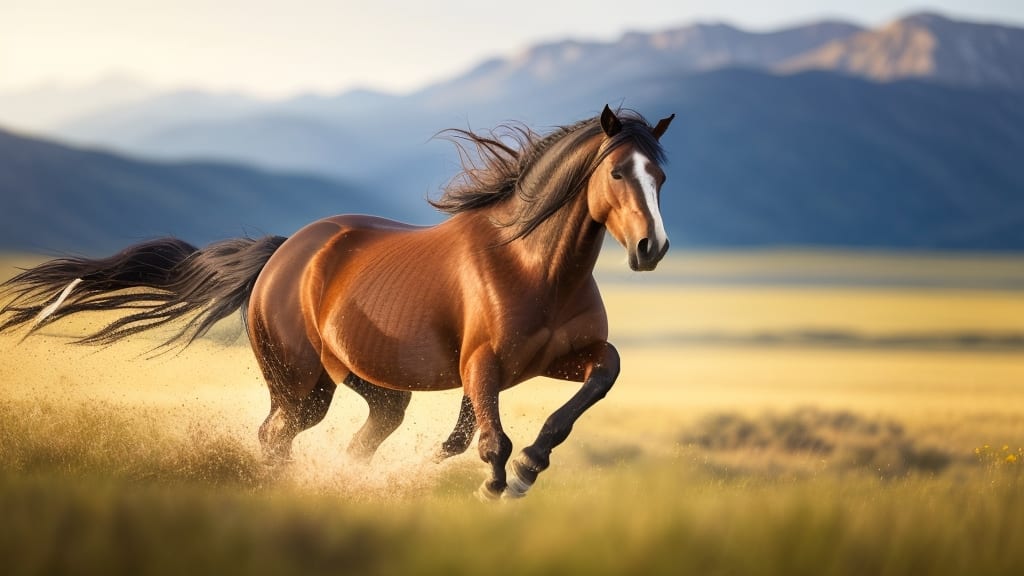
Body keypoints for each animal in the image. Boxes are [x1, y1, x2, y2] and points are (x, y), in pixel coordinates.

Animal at [0, 105, 674, 499]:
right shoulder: (482, 364)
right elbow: (490, 441)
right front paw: (496, 482)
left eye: (661, 177)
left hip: (374, 388)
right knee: (275, 436)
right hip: (300, 386)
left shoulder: (562, 359)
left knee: (359, 441)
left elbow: (596, 382)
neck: (535, 266)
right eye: (618, 173)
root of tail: (280, 254)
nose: (652, 248)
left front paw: (531, 468)